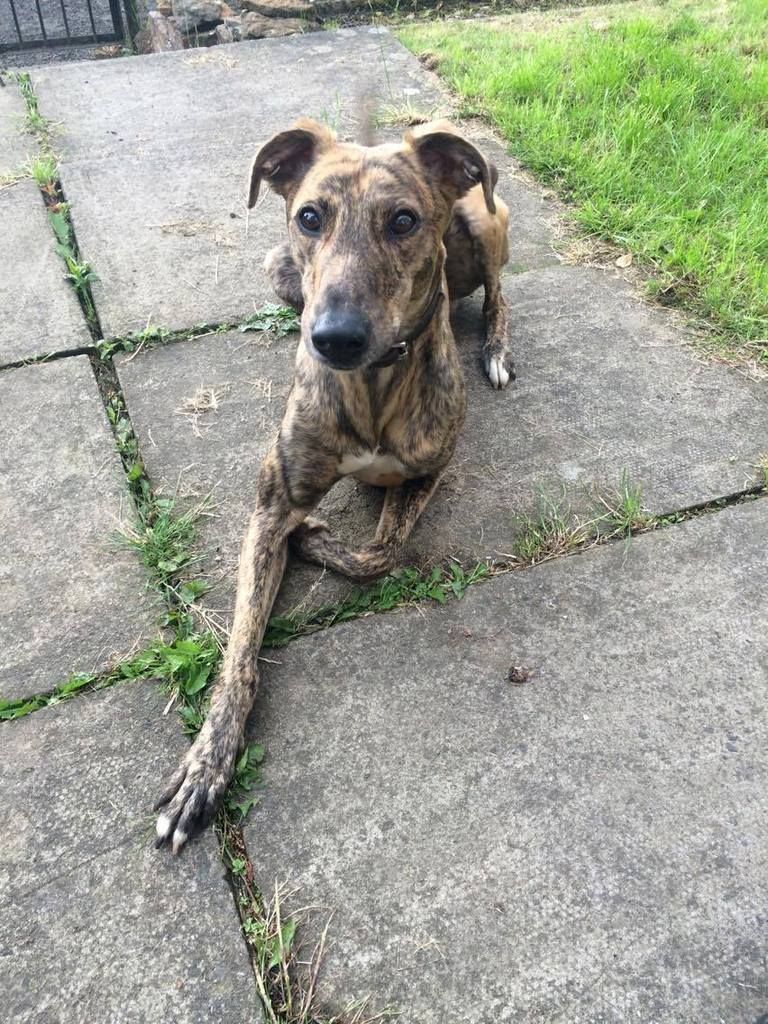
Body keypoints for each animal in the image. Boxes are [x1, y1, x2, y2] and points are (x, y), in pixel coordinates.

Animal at [153, 116, 514, 851]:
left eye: (404, 220)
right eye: (310, 216)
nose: (334, 339)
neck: (372, 383)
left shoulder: (430, 469)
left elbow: (379, 553)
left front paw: (315, 540)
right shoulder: (273, 498)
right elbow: (239, 654)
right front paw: (206, 765)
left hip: (485, 221)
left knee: (498, 293)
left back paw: (494, 348)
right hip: (278, 270)